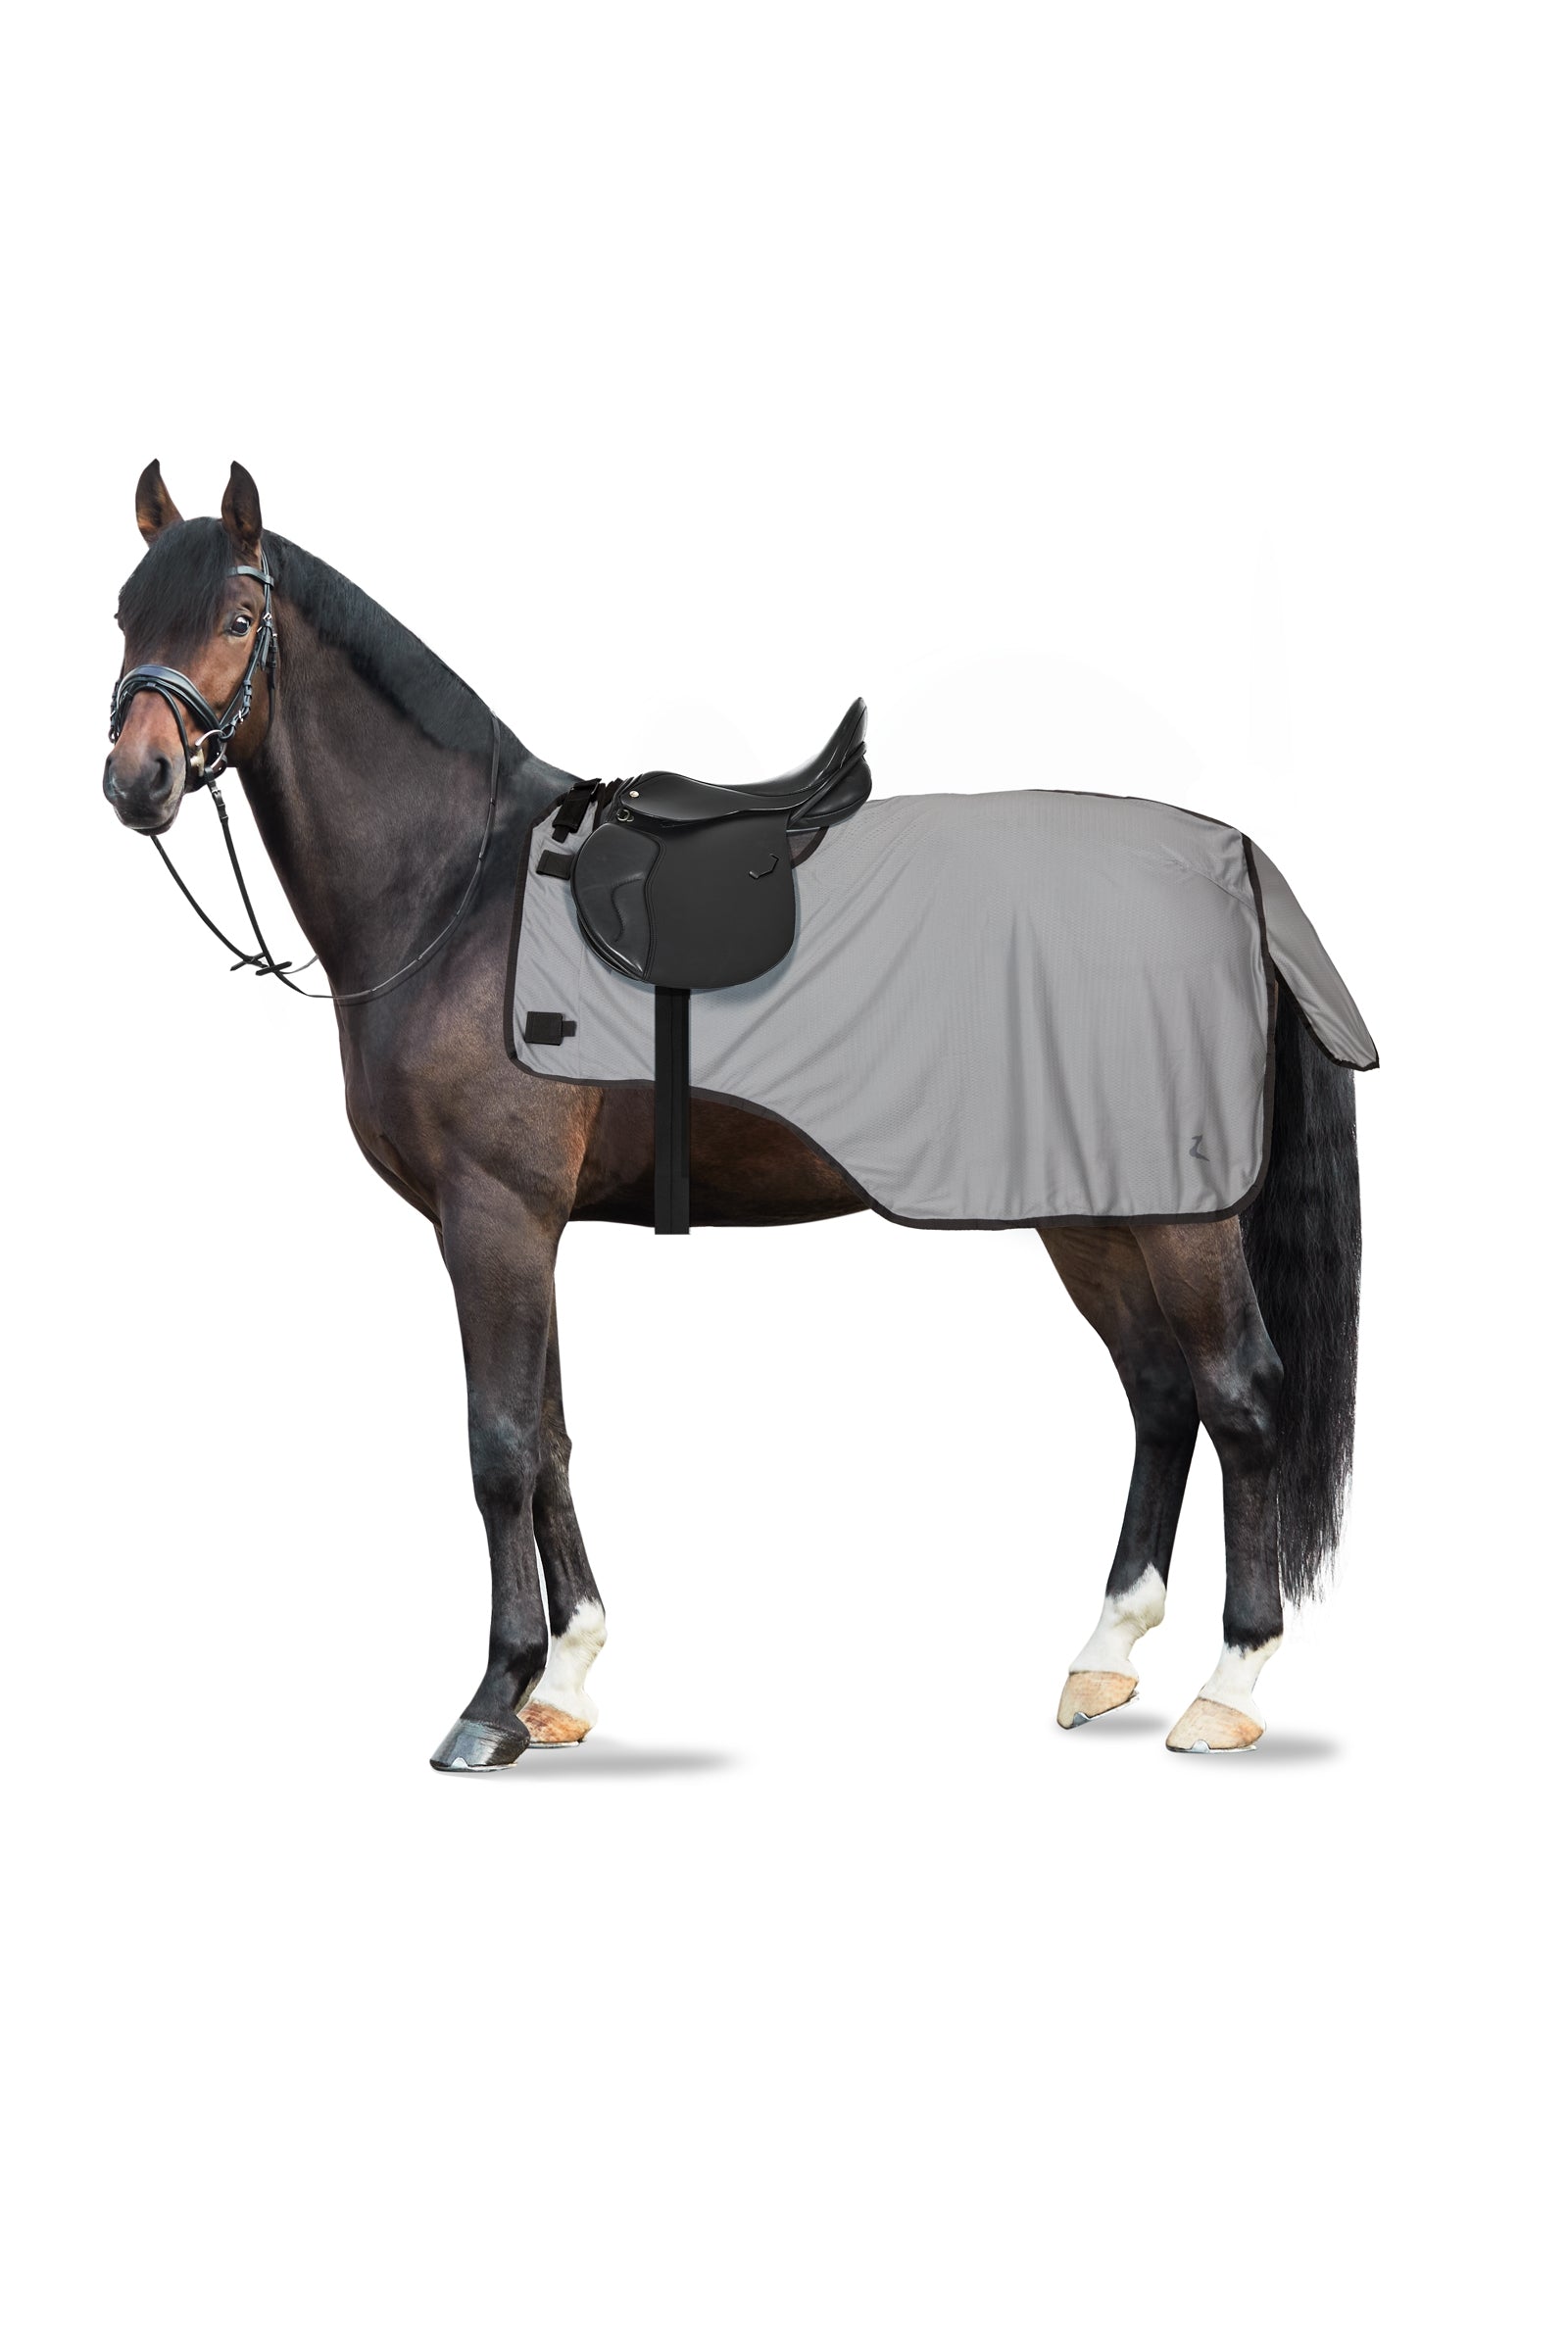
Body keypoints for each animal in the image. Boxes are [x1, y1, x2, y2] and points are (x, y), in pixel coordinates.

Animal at [103, 460, 1363, 1770]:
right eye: (125, 616)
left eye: (235, 620)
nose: (137, 781)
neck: (458, 891)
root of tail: (1237, 870)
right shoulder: (525, 1228)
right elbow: (551, 1438)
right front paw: (566, 1679)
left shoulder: (492, 1217)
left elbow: (498, 1447)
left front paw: (493, 1698)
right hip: (1090, 1210)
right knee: (1161, 1395)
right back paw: (1105, 1655)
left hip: (1179, 1217)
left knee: (1241, 1398)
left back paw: (1230, 1682)